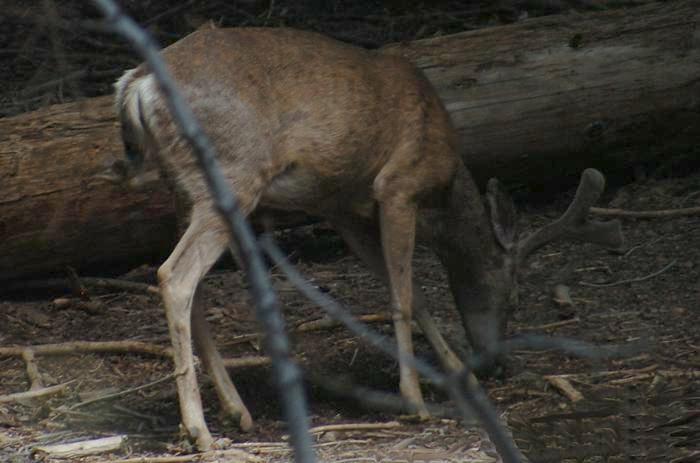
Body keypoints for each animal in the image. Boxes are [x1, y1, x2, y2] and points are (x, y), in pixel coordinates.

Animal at [110, 26, 623, 450]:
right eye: (514, 297)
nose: (494, 361)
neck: (444, 184)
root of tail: (137, 84)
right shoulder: (398, 185)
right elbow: (402, 294)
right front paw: (415, 397)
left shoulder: (343, 210)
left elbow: (415, 295)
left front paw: (458, 377)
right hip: (233, 175)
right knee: (174, 275)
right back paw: (199, 429)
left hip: (183, 190)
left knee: (189, 284)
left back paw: (238, 412)